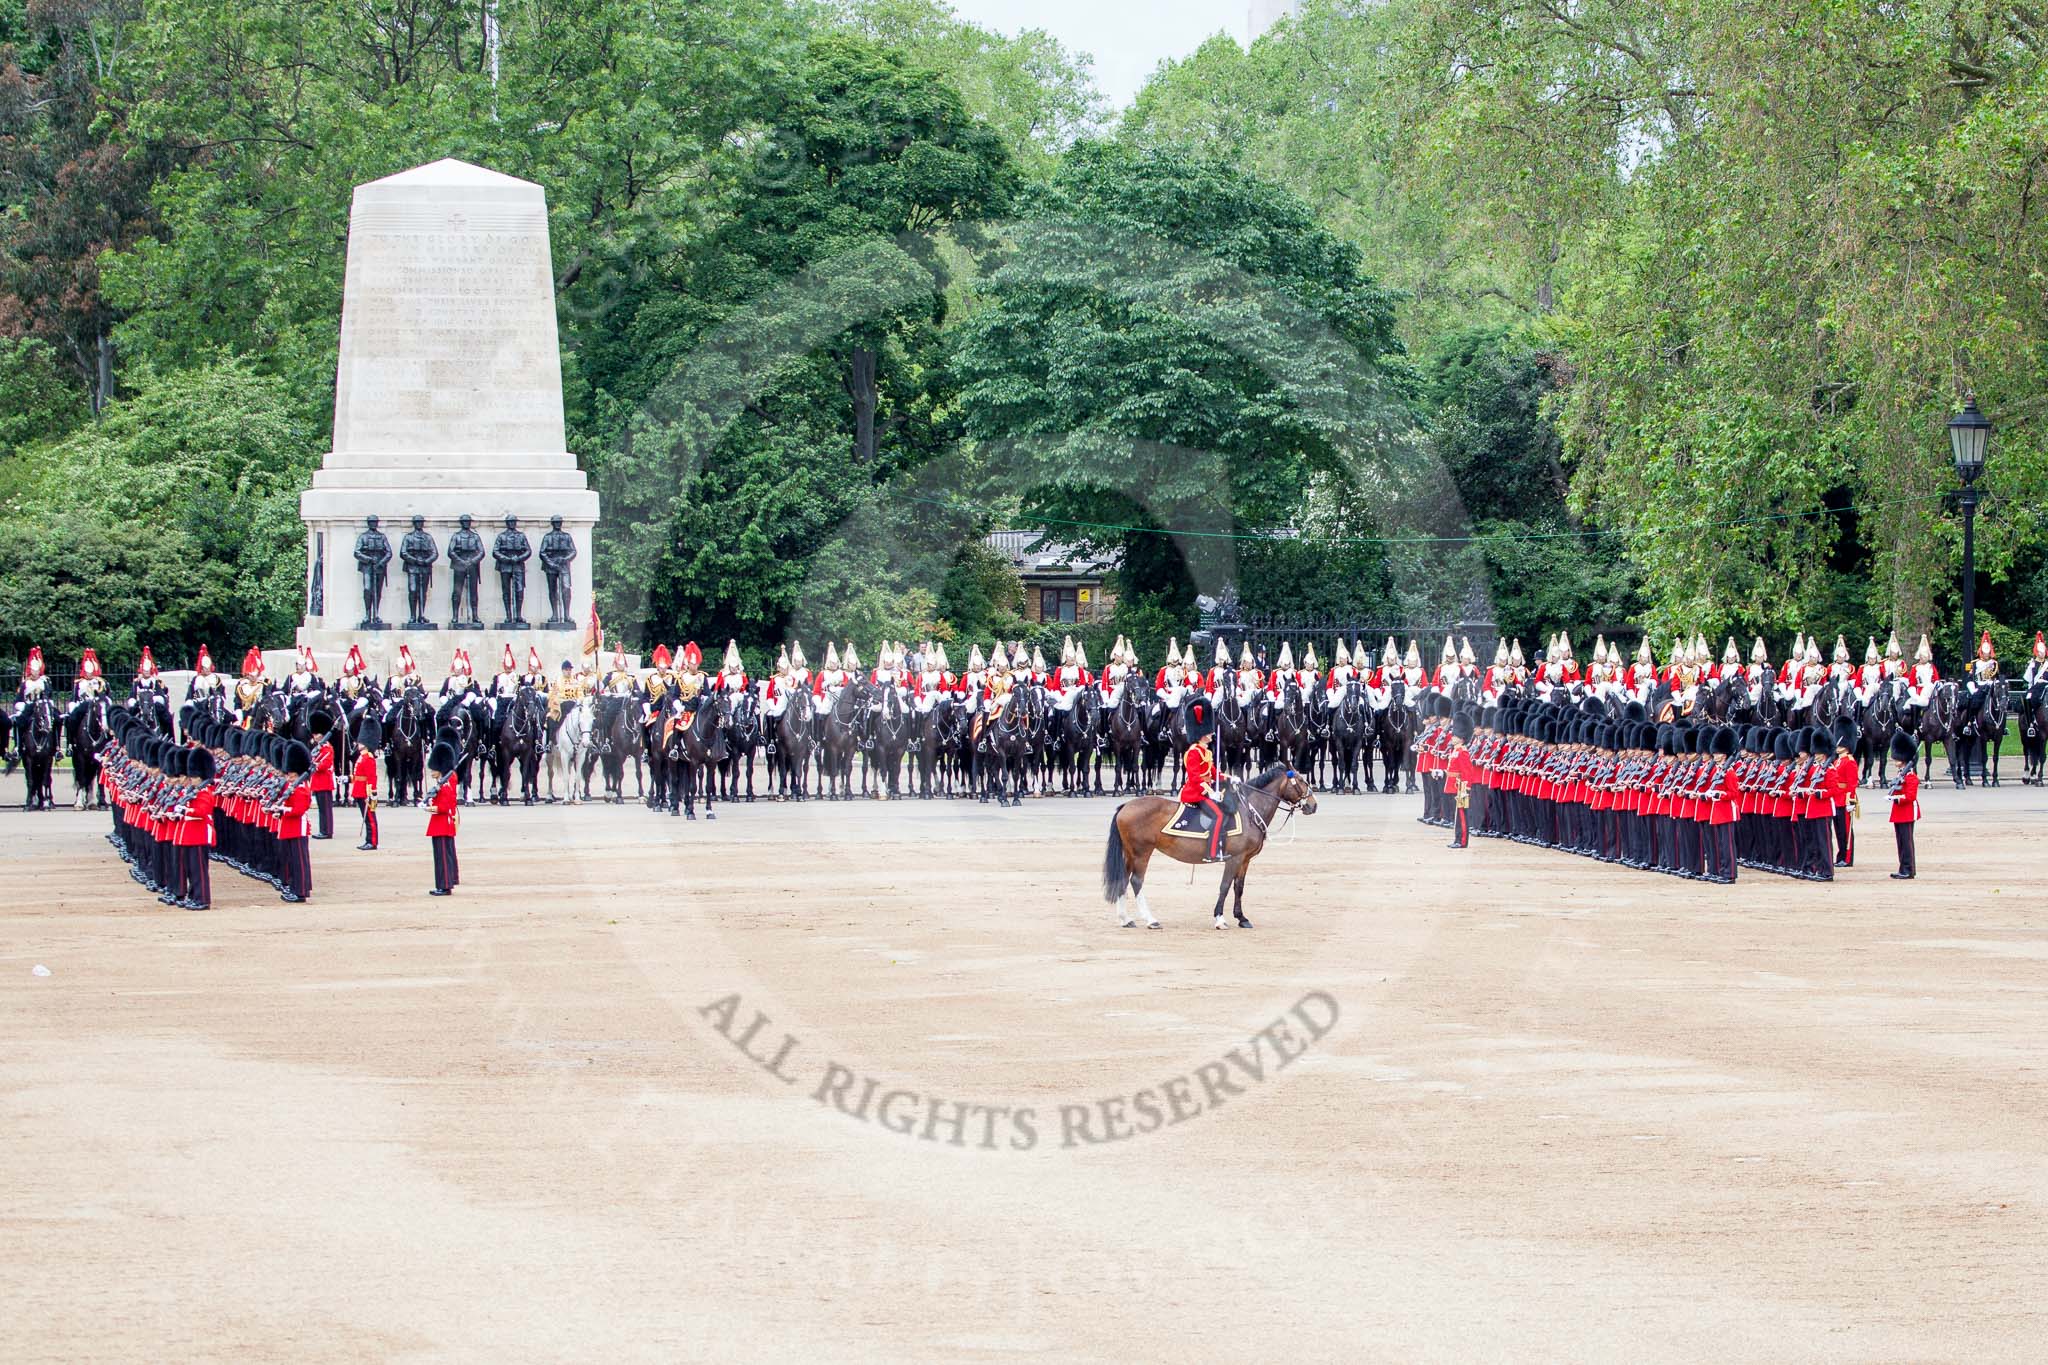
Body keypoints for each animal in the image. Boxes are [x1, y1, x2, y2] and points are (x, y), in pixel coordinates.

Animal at [1105, 765, 1310, 933]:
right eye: (1302, 781)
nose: (1312, 805)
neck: (1248, 812)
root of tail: (1126, 805)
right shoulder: (1235, 858)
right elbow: (1225, 886)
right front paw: (1220, 919)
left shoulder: (1245, 860)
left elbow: (1239, 887)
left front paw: (1241, 918)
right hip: (1142, 853)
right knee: (1136, 881)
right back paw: (1150, 920)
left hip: (1130, 854)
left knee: (1123, 879)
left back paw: (1125, 919)